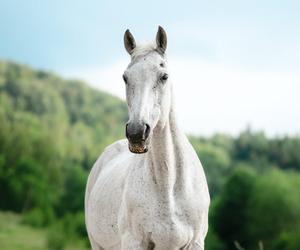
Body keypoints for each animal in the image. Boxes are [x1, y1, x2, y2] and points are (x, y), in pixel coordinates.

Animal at [84, 26, 210, 249]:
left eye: (164, 76)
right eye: (125, 77)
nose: (136, 132)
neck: (168, 187)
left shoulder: (195, 243)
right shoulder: (135, 242)